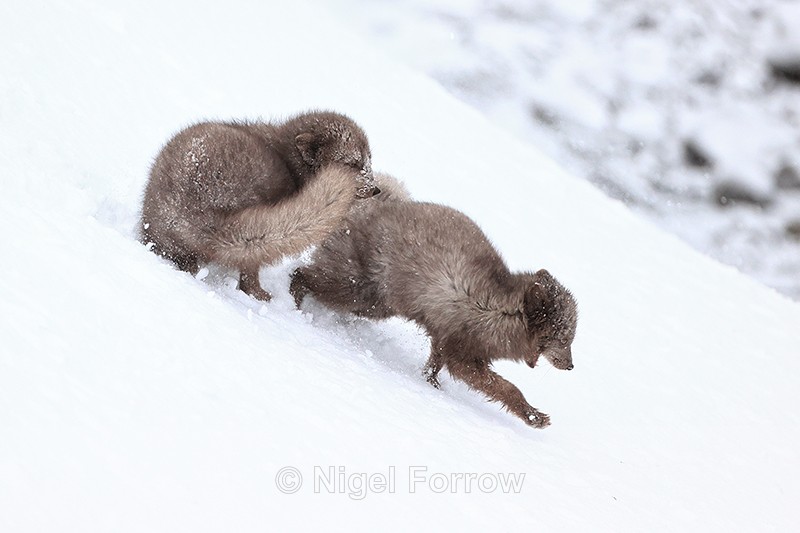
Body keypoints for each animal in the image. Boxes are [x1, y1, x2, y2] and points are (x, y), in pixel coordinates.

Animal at [140, 111, 376, 301]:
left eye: (369, 161)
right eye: (352, 164)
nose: (376, 190)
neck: (289, 162)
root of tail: (196, 211)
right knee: (248, 277)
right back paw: (261, 295)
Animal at [290, 176, 578, 428]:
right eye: (563, 338)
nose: (571, 366)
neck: (501, 309)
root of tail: (369, 205)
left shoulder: (444, 338)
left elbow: (435, 363)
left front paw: (431, 382)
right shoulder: (462, 353)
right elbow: (505, 387)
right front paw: (533, 416)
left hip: (375, 304)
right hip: (355, 288)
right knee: (301, 275)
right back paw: (296, 305)